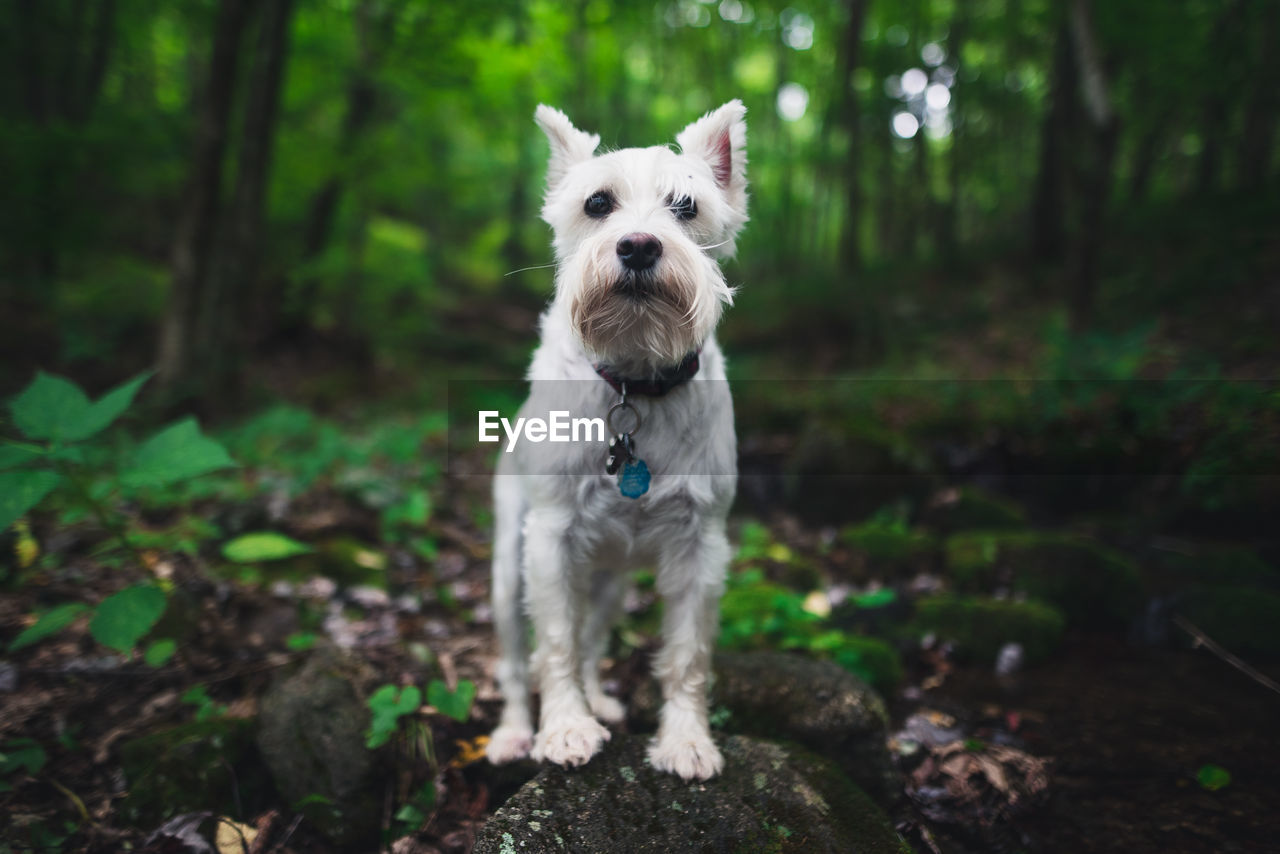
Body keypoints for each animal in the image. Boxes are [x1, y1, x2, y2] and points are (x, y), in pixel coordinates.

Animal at [486, 100, 747, 783]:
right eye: (598, 203)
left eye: (686, 206)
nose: (638, 245)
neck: (634, 378)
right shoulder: (550, 540)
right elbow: (553, 642)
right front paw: (565, 729)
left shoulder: (700, 545)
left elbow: (687, 654)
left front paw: (686, 741)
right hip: (508, 574)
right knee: (517, 662)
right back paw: (516, 732)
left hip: (608, 581)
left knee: (592, 637)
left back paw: (597, 699)